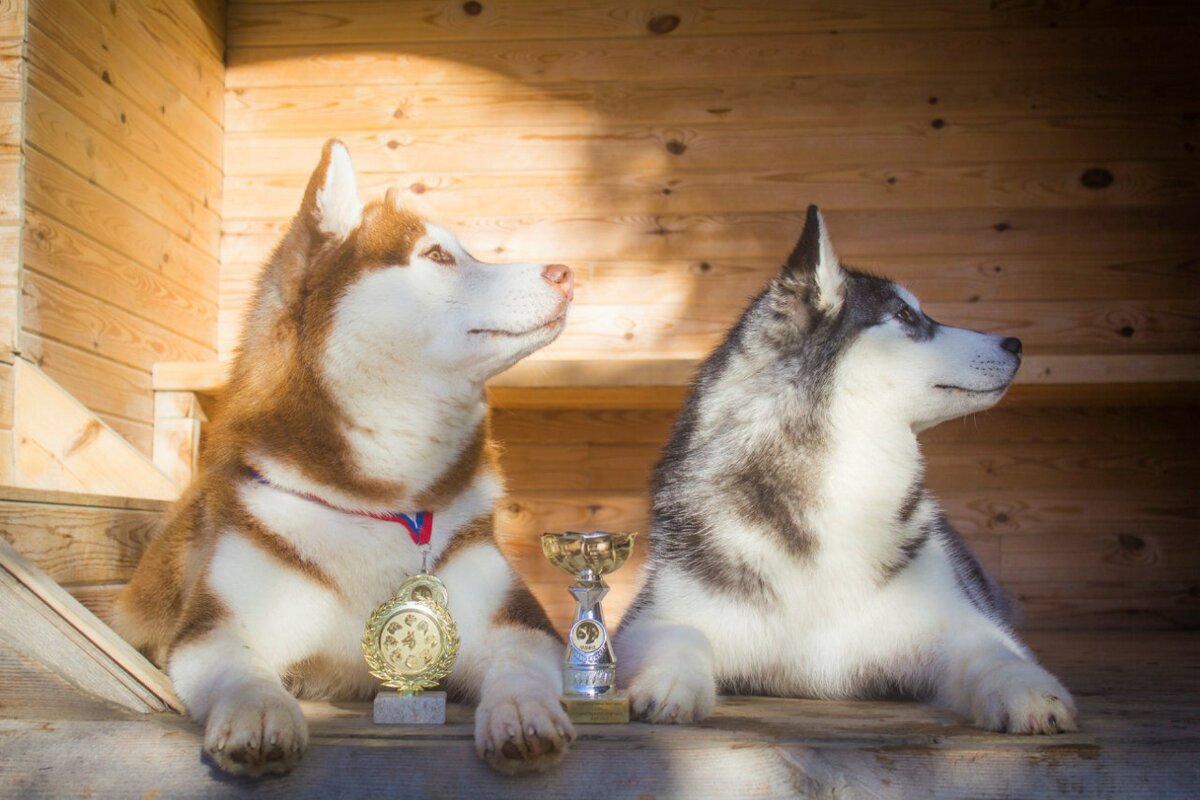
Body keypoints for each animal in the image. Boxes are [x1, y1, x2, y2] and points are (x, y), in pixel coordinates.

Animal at [114, 140, 578, 777]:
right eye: (438, 254)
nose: (567, 272)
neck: (378, 498)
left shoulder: (517, 622)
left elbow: (520, 666)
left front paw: (521, 712)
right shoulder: (213, 631)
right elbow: (242, 671)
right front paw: (261, 713)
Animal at [619, 208, 1080, 738]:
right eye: (905, 316)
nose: (1016, 343)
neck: (843, 493)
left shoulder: (966, 624)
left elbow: (999, 656)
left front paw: (1028, 690)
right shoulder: (652, 617)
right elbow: (677, 636)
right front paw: (670, 683)